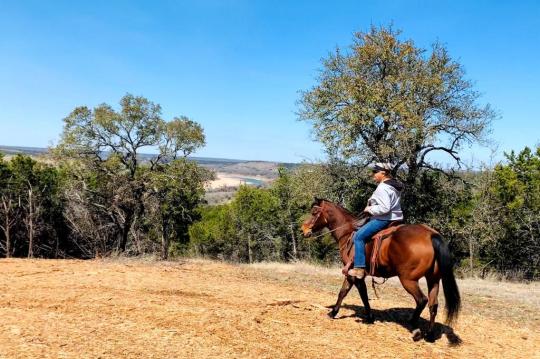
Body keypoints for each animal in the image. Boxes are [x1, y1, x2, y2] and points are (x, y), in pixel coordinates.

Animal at [300, 198, 460, 342]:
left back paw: (415, 329)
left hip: (408, 280)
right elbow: (347, 292)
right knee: (433, 305)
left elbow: (356, 294)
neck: (348, 233)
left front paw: (359, 316)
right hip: (433, 279)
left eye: (314, 212)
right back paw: (430, 335)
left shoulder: (353, 274)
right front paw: (336, 313)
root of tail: (431, 235)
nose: (303, 230)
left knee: (422, 300)